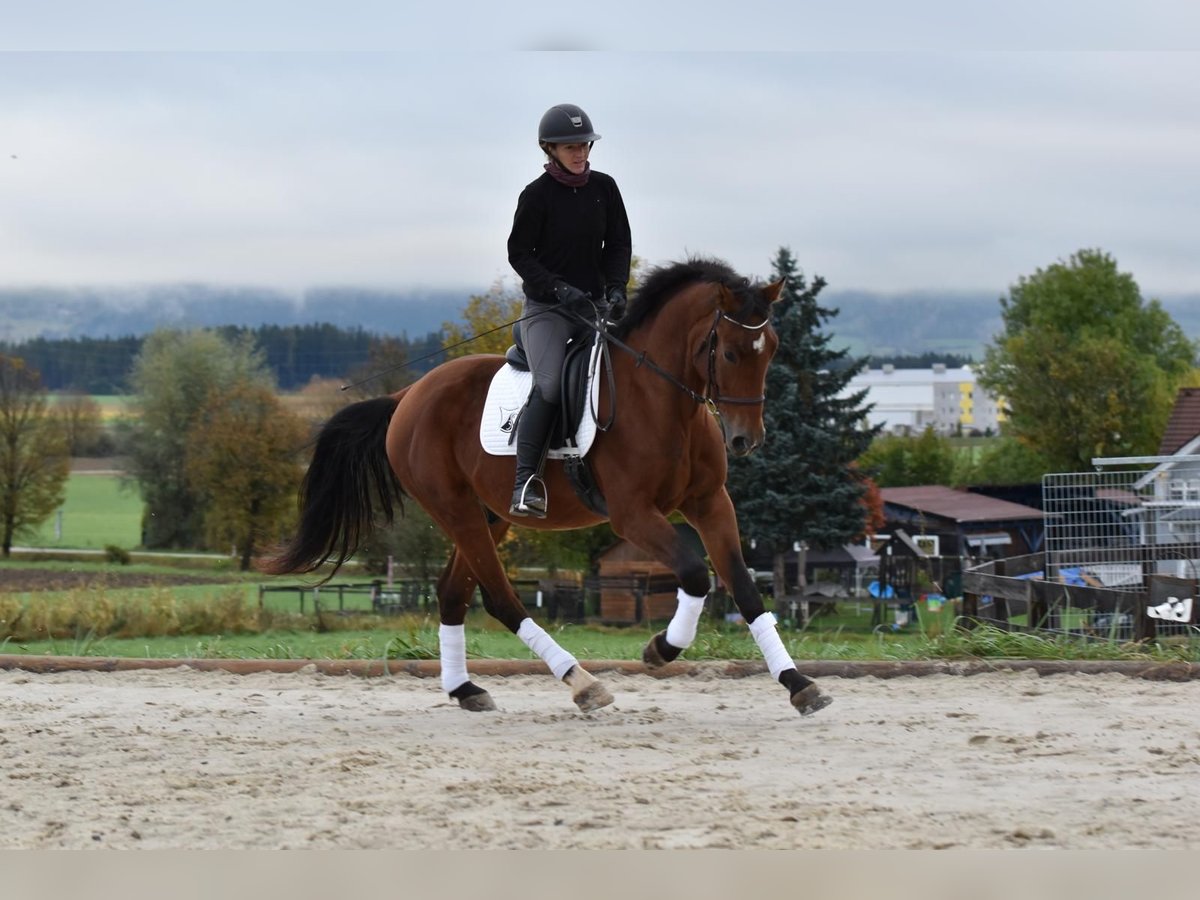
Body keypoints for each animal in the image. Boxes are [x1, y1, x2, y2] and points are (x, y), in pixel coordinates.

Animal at [260, 259, 835, 720]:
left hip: (489, 514)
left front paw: (799, 685)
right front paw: (660, 650)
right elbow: (696, 574)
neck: (665, 401)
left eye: (771, 349)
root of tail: (408, 395)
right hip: (454, 508)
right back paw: (582, 683)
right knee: (499, 597)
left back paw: (467, 690)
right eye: (731, 353)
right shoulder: (632, 514)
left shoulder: (710, 503)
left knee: (452, 592)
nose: (745, 440)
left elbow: (744, 586)